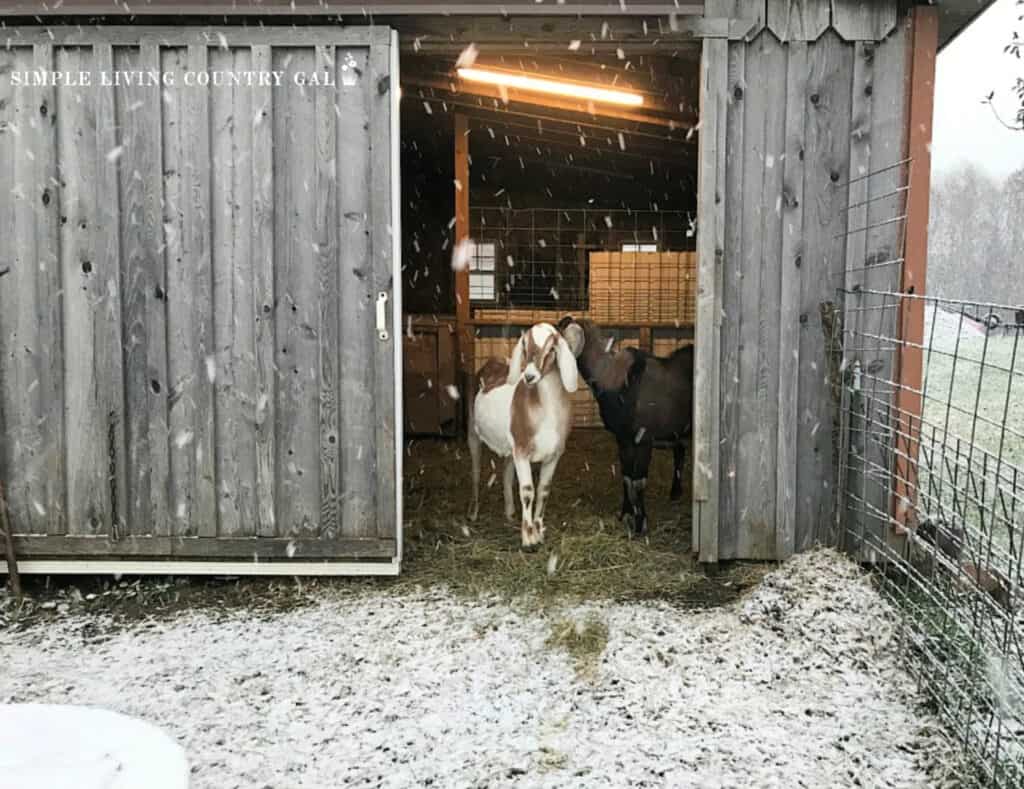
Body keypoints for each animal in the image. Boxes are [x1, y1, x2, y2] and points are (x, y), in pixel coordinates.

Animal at [466, 321, 581, 548]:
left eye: (551, 349)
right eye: (525, 347)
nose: (529, 376)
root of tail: (493, 360)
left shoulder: (554, 455)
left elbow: (543, 490)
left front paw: (539, 532)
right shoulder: (522, 450)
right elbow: (528, 490)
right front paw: (528, 539)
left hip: (510, 445)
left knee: (506, 472)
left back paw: (510, 513)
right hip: (472, 432)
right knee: (475, 472)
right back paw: (473, 514)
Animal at [561, 317, 696, 536]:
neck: (615, 379)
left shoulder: (644, 439)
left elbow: (638, 482)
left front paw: (640, 524)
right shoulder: (623, 439)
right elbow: (626, 477)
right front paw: (625, 514)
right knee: (680, 451)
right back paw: (675, 492)